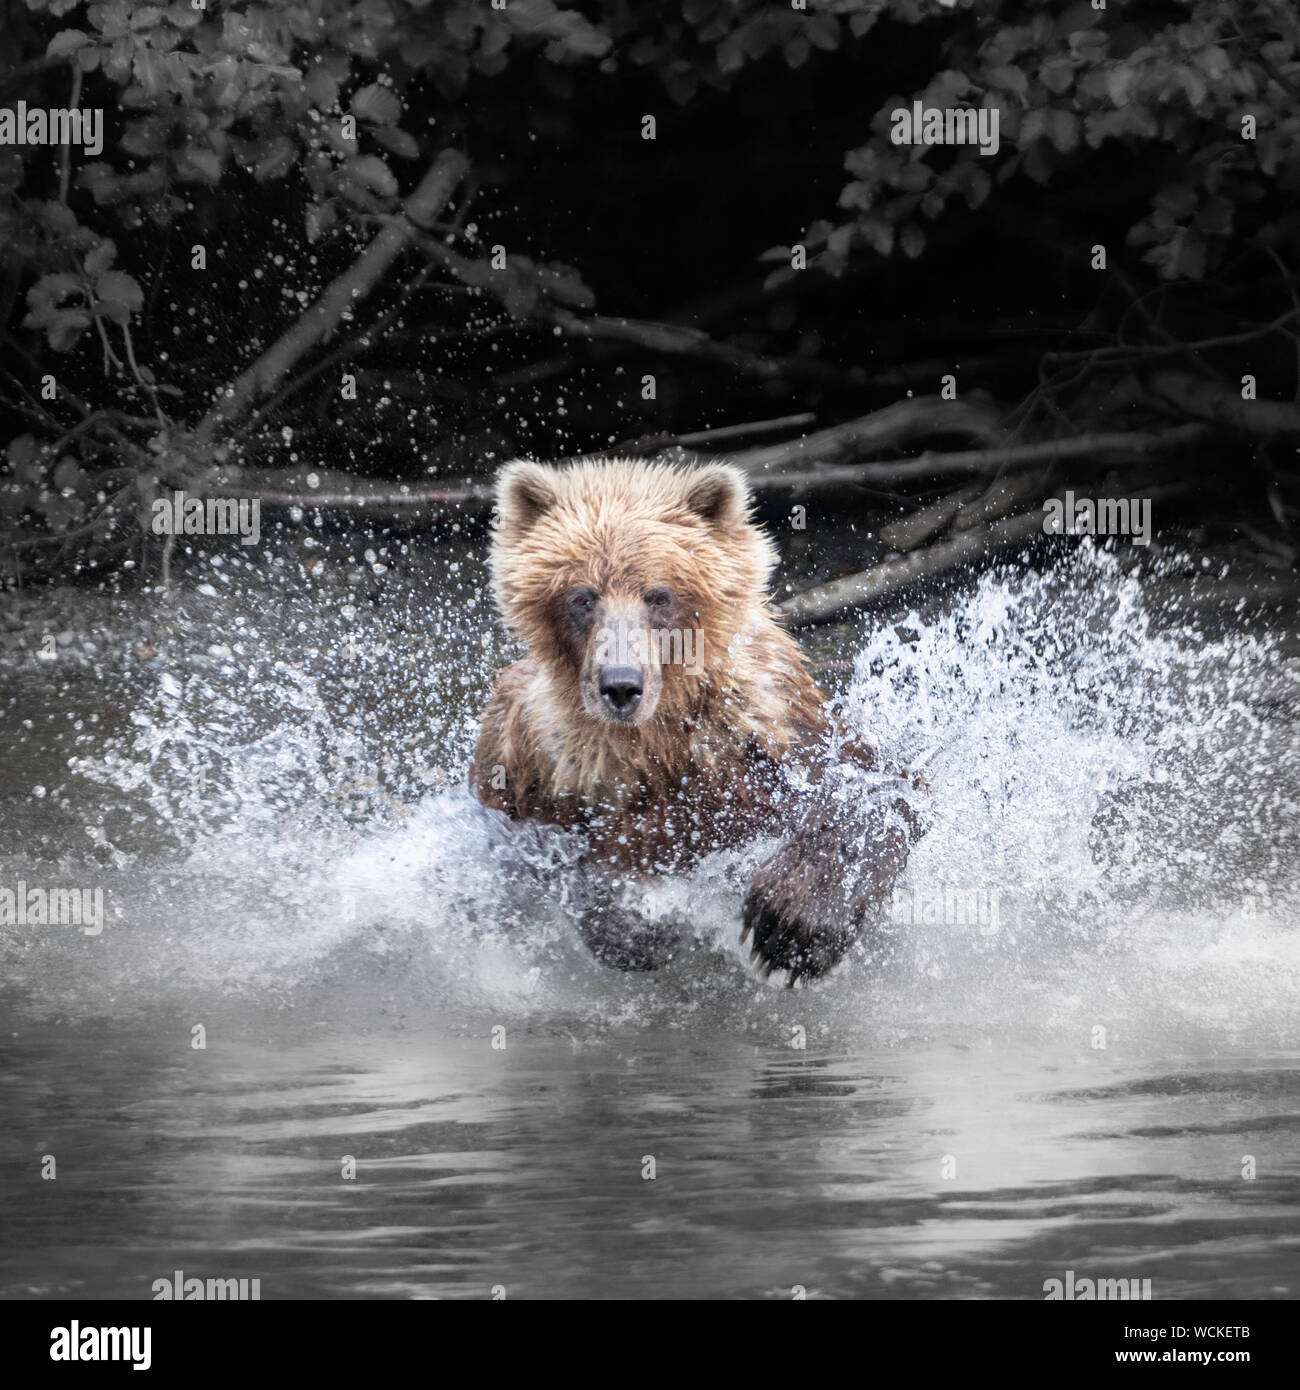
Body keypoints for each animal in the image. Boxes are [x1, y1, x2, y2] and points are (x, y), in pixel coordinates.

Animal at [472, 455, 917, 978]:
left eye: (658, 595)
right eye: (582, 597)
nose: (620, 684)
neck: (661, 736)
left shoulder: (775, 727)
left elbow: (878, 789)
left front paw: (791, 926)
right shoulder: (538, 761)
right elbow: (544, 849)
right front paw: (634, 926)